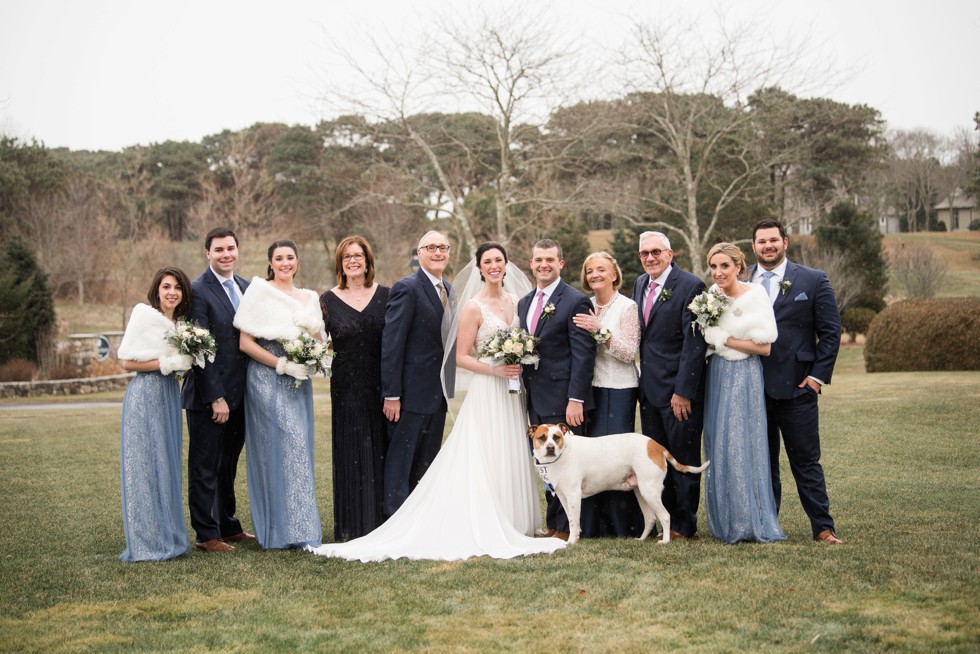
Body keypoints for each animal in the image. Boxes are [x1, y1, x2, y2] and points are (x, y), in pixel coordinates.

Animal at [528, 422, 712, 544]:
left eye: (556, 437)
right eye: (542, 438)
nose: (550, 448)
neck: (564, 453)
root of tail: (656, 446)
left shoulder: (574, 495)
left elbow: (574, 522)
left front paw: (571, 541)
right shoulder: (564, 497)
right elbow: (572, 519)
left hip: (650, 492)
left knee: (665, 516)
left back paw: (665, 541)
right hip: (641, 492)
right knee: (650, 518)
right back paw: (641, 539)